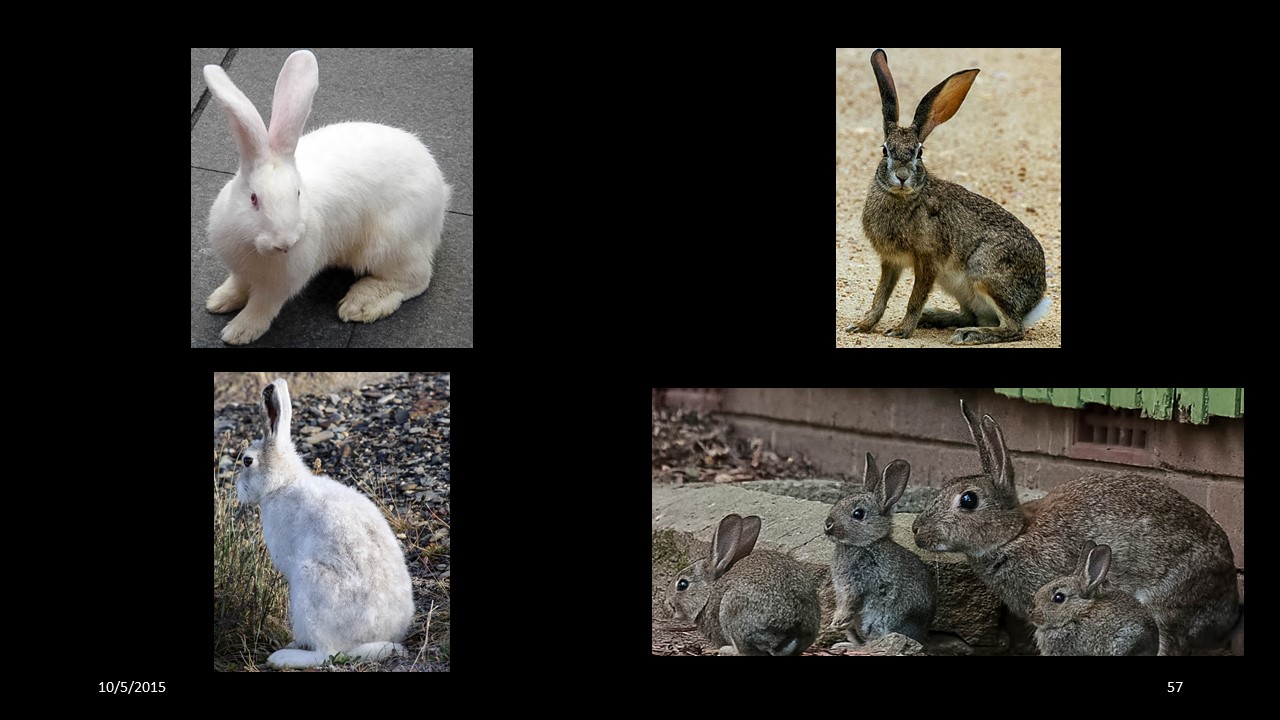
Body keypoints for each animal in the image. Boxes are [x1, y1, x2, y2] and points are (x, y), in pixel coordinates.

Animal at [203, 50, 450, 345]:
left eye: (298, 194)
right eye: (254, 199)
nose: (285, 243)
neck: (254, 247)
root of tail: (441, 196)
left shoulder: (279, 286)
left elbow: (262, 307)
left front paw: (239, 332)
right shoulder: (240, 270)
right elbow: (237, 285)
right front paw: (219, 301)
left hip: (391, 243)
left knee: (415, 279)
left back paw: (361, 304)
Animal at [237, 378, 415, 668]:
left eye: (247, 461)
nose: (238, 491)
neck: (282, 484)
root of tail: (371, 639)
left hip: (310, 584)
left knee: (327, 653)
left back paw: (283, 656)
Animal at [824, 453, 935, 647]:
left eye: (858, 514)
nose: (828, 524)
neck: (866, 544)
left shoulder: (861, 582)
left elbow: (851, 603)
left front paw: (837, 622)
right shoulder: (843, 590)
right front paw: (836, 623)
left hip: (881, 621)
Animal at [846, 48, 1050, 344]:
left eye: (919, 152)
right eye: (885, 150)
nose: (902, 176)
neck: (903, 197)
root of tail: (1034, 303)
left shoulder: (928, 261)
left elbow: (914, 299)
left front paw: (901, 330)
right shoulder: (891, 262)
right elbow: (880, 296)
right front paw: (863, 325)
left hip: (984, 271)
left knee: (1012, 328)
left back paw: (968, 335)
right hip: (958, 286)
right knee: (973, 315)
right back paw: (935, 317)